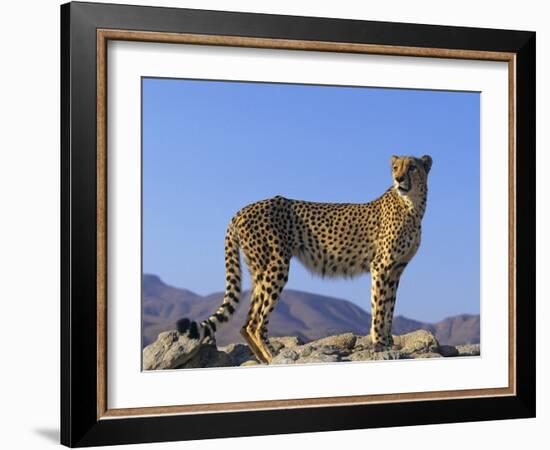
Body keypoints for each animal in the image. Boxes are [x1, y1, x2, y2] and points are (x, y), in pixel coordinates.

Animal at [177, 156, 432, 364]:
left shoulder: (396, 270)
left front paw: (388, 341)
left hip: (259, 270)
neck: (412, 205)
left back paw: (265, 360)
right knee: (256, 323)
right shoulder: (381, 267)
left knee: (246, 323)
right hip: (276, 265)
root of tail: (242, 209)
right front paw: (380, 344)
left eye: (412, 167)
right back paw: (274, 358)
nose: (399, 179)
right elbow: (379, 307)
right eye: (395, 167)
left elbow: (389, 306)